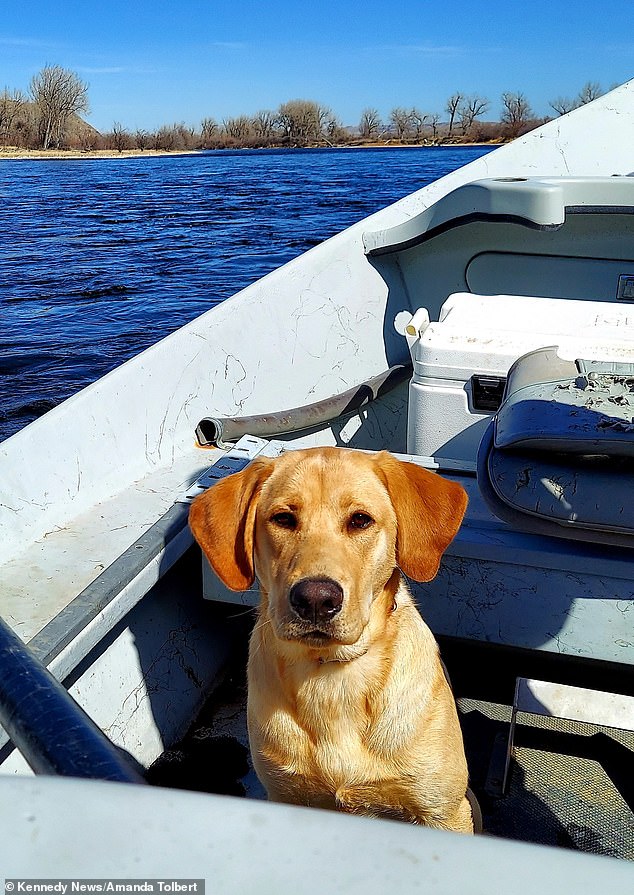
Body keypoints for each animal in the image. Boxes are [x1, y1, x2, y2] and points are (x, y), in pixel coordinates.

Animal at [191, 448, 474, 832]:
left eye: (360, 520)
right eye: (283, 518)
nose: (315, 599)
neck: (332, 675)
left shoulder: (445, 812)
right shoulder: (285, 795)